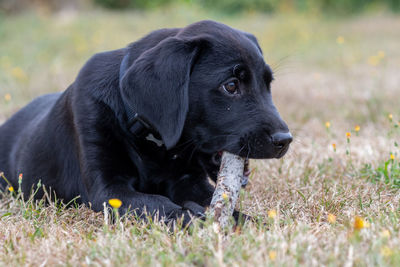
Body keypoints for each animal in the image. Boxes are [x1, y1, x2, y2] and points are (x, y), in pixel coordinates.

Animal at [0, 21, 290, 225]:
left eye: (268, 84)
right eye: (231, 86)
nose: (285, 141)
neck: (152, 143)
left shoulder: (189, 180)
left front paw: (249, 222)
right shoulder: (109, 190)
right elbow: (159, 204)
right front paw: (194, 220)